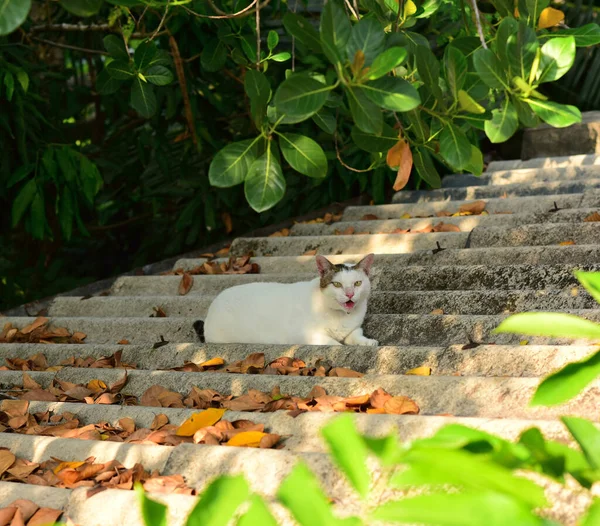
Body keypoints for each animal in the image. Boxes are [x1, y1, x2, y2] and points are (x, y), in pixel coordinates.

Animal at [195, 255, 378, 348]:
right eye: (337, 284)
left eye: (357, 283)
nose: (350, 294)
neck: (342, 316)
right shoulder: (307, 336)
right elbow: (336, 344)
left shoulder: (354, 328)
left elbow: (355, 335)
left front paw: (368, 342)